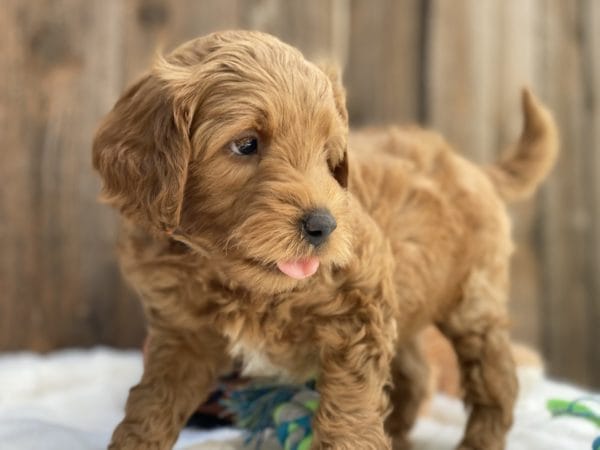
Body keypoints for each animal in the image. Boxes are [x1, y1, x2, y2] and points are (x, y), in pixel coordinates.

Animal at [92, 29, 556, 448]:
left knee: (495, 380)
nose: (323, 226)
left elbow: (349, 410)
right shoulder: (182, 332)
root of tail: (473, 168)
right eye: (246, 144)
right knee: (416, 373)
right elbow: (153, 403)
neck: (240, 280)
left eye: (327, 154)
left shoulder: (361, 305)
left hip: (473, 300)